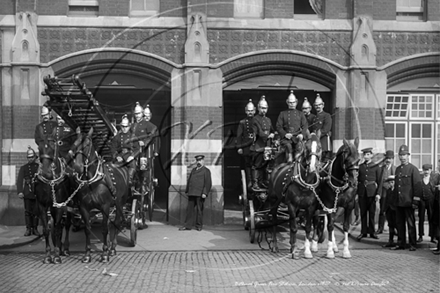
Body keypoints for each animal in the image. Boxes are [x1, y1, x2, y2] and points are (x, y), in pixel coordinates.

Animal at [34, 132, 76, 262]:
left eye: (53, 147)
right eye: (39, 148)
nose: (46, 171)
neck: (50, 182)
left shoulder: (59, 205)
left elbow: (57, 229)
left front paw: (57, 255)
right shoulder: (42, 205)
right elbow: (47, 229)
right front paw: (48, 255)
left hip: (70, 204)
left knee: (66, 225)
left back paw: (65, 249)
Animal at [70, 126, 131, 262]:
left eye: (87, 144)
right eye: (75, 143)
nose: (77, 167)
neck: (92, 180)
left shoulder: (105, 206)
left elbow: (104, 229)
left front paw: (104, 254)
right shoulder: (83, 207)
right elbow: (87, 229)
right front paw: (87, 254)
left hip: (120, 203)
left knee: (117, 223)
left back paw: (112, 248)